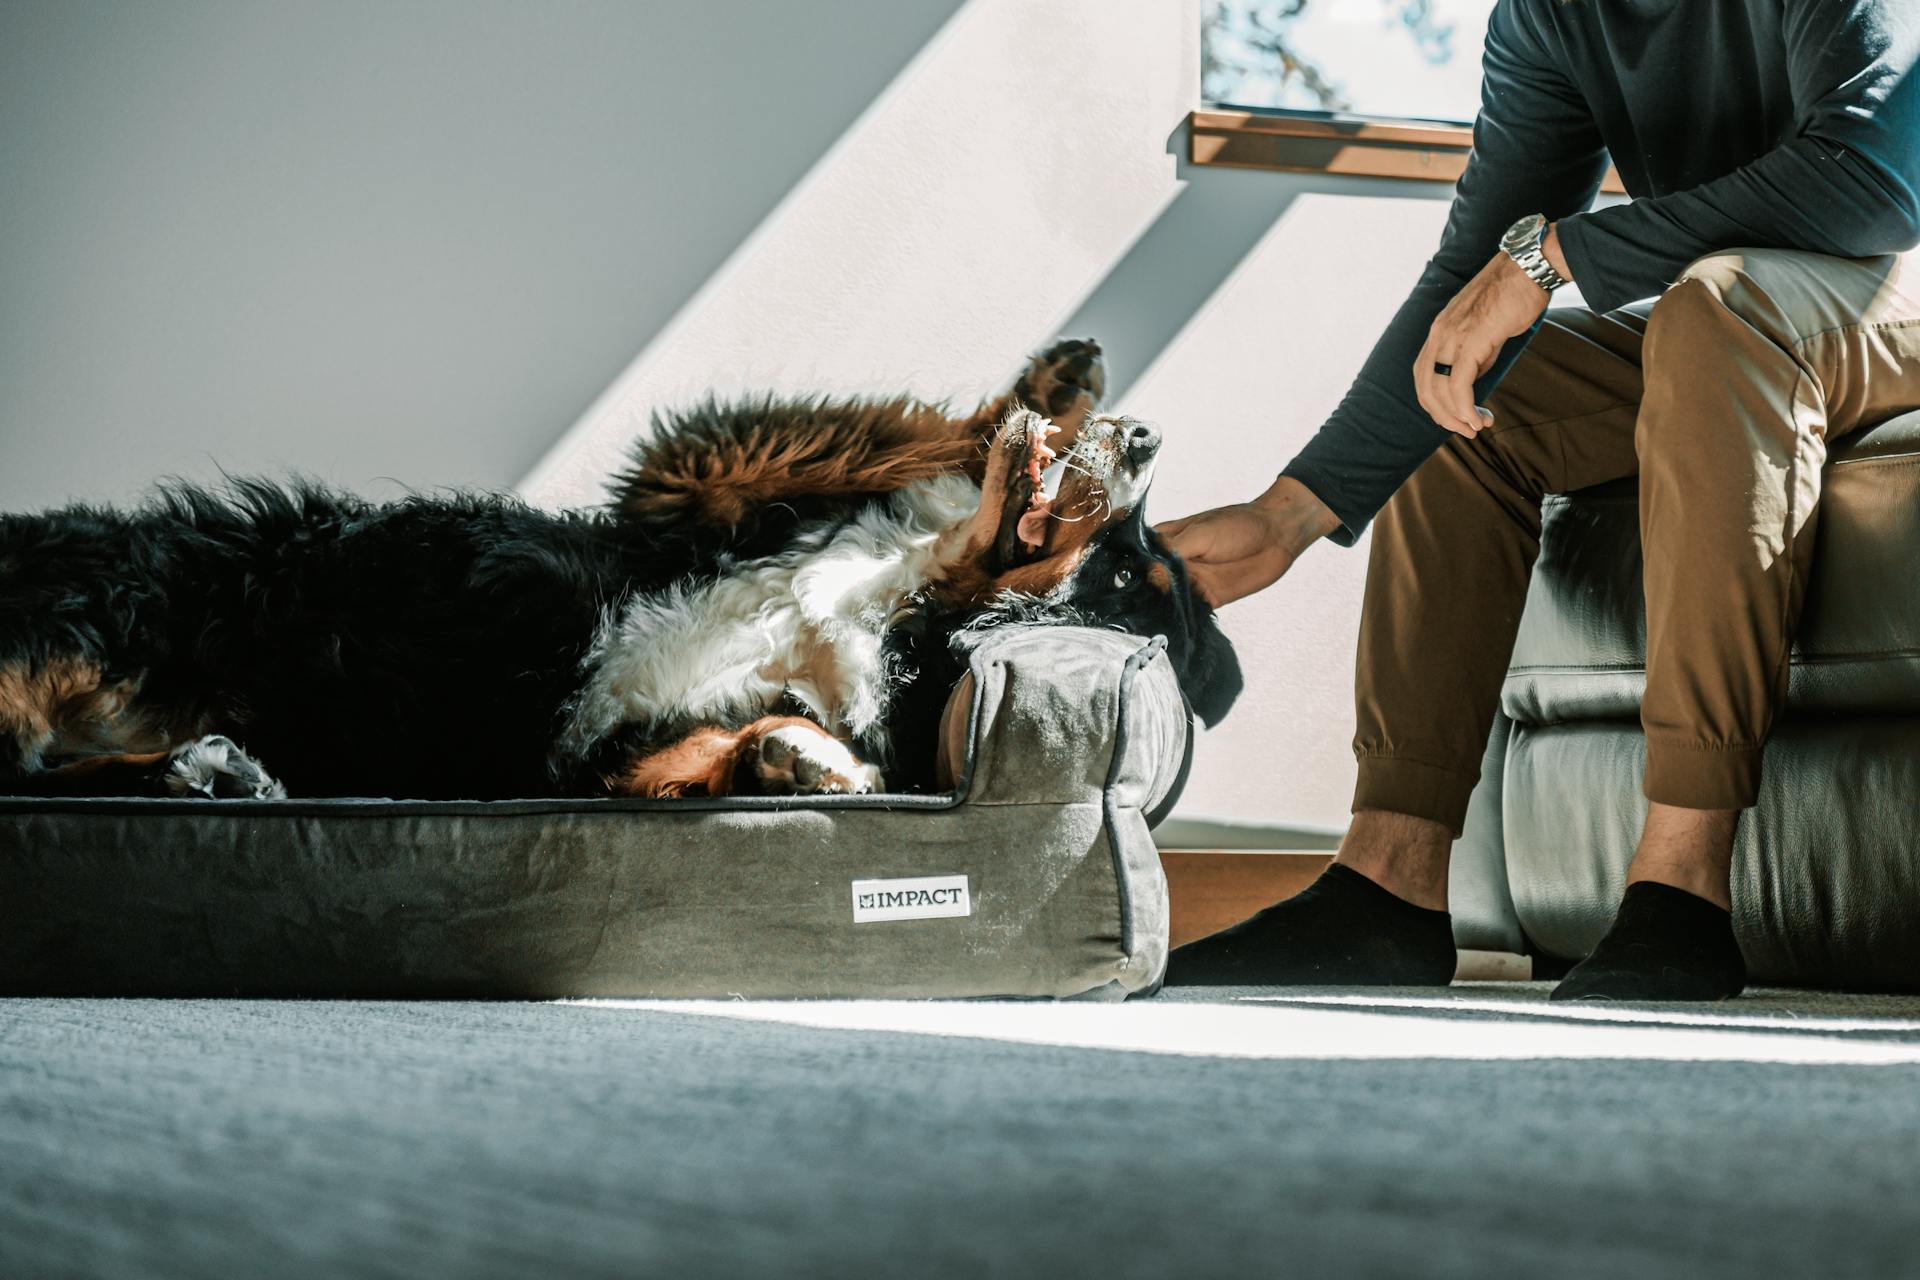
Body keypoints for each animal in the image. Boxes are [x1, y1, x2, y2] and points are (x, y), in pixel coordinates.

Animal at [0, 339, 1244, 802]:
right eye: (1129, 573)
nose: (1148, 442)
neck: (905, 599)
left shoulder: (609, 741)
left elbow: (695, 753)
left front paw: (796, 756)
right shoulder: (694, 484)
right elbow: (898, 436)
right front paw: (1052, 395)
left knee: (37, 764)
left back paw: (203, 766)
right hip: (96, 604)